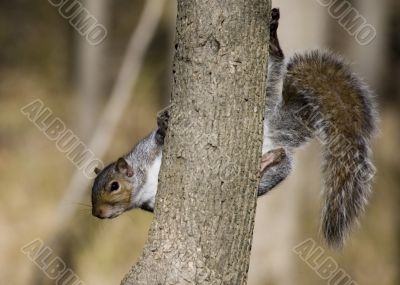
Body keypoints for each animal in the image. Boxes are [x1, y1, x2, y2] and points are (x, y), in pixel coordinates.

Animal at [91, 8, 378, 247]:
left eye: (113, 186)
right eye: (93, 190)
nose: (97, 213)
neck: (144, 179)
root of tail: (270, 134)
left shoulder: (148, 148)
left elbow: (159, 134)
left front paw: (164, 122)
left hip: (262, 90)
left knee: (274, 65)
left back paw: (272, 43)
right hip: (279, 168)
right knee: (280, 160)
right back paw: (269, 158)